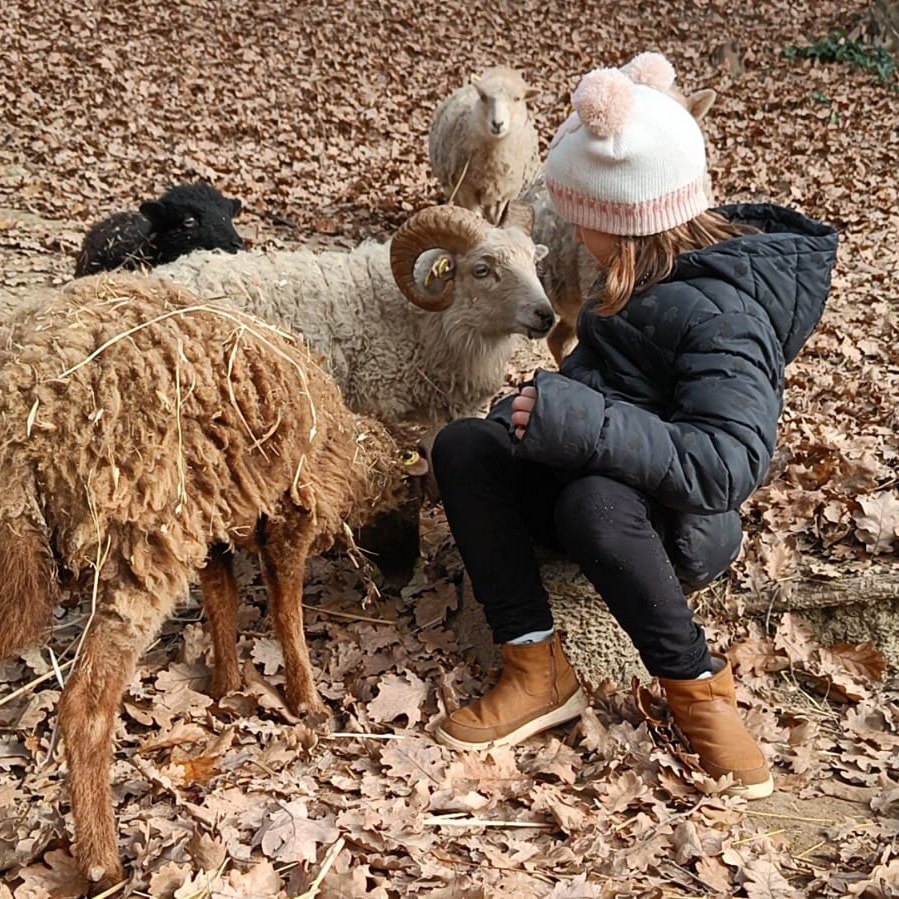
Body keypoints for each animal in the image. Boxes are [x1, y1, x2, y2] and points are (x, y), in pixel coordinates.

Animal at [0, 273, 426, 891]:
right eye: (413, 496)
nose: (406, 571)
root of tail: (22, 415)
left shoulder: (214, 519)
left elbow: (223, 600)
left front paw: (227, 687)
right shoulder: (290, 511)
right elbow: (284, 606)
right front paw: (308, 702)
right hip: (142, 543)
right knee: (85, 708)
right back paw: (104, 862)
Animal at [429, 66, 542, 224]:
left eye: (517, 99)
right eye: (483, 97)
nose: (497, 124)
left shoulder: (508, 193)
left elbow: (497, 219)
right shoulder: (466, 187)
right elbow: (474, 214)